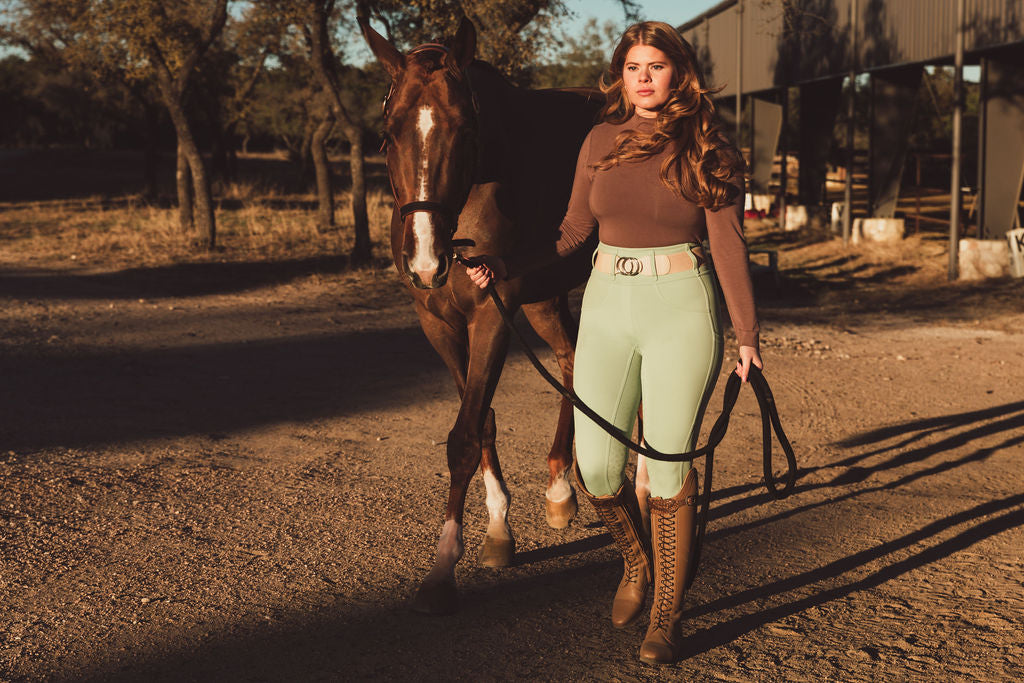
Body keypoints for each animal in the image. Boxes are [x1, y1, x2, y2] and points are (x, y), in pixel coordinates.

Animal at [360, 17, 602, 614]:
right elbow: (483, 420)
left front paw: (444, 567)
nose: (427, 261)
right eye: (388, 134)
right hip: (543, 298)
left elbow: (465, 435)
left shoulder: (494, 314)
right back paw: (560, 490)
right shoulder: (439, 323)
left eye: (466, 131)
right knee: (569, 360)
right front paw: (497, 532)